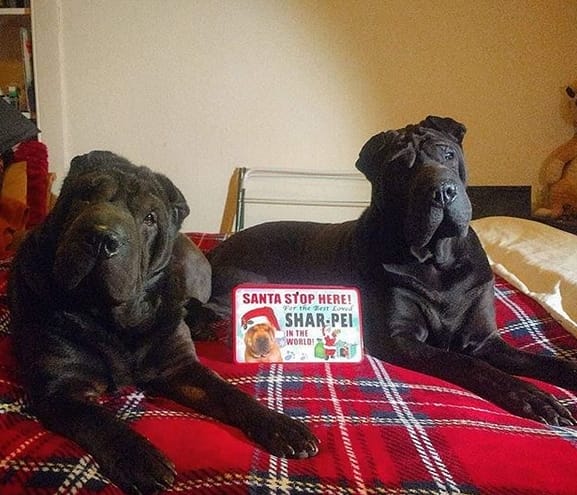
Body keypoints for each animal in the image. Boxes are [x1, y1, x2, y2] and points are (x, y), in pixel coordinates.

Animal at [8, 151, 319, 495]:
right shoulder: (61, 389)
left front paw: (282, 426)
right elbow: (99, 419)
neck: (115, 319)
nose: (102, 237)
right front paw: (141, 458)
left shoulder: (180, 368)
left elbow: (229, 393)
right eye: (84, 196)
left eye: (149, 218)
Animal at [207, 116, 577, 427]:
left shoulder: (483, 339)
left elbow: (545, 362)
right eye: (400, 169)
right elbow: (468, 364)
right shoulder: (400, 338)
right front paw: (532, 396)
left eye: (447, 154)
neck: (437, 262)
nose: (443, 191)